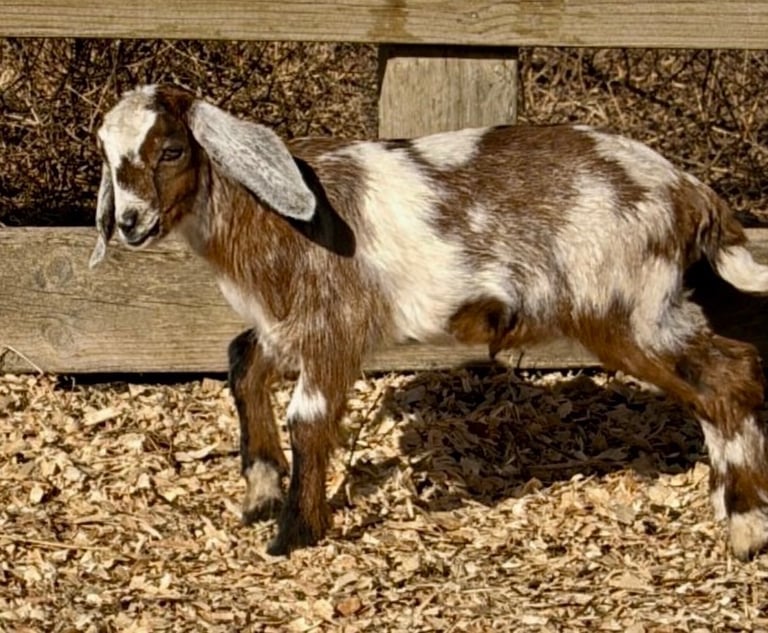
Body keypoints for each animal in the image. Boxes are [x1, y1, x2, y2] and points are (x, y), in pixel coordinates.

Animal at [92, 84, 768, 560]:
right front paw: (261, 492)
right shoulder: (287, 325)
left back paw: (746, 526)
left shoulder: (333, 326)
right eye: (108, 157)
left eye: (172, 150)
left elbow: (308, 418)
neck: (269, 219)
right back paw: (725, 500)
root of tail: (690, 192)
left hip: (631, 307)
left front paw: (295, 534)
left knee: (731, 374)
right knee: (718, 385)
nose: (129, 222)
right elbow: (241, 361)